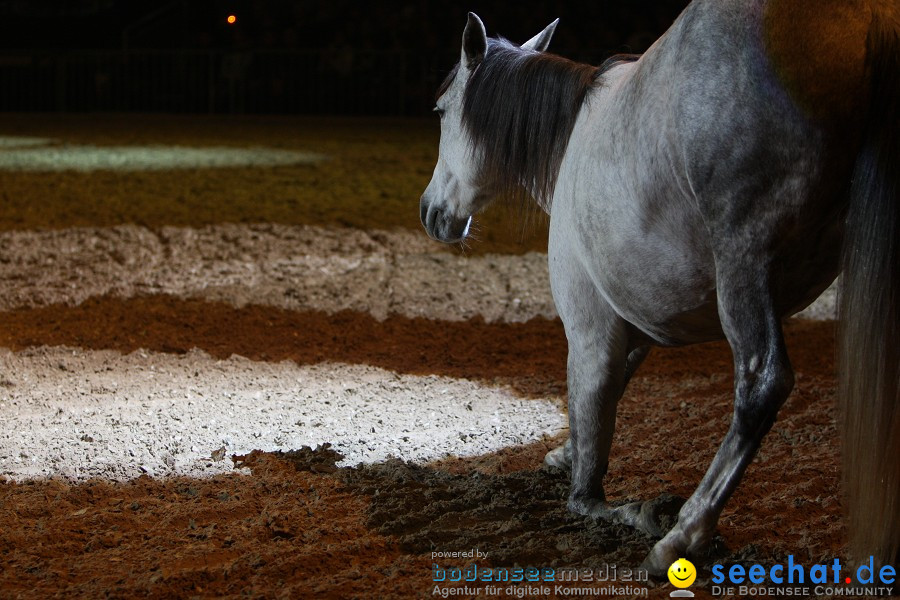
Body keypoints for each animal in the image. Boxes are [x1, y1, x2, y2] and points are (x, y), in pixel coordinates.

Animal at [420, 0, 900, 576]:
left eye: (441, 111)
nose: (429, 212)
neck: (571, 139)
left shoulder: (591, 332)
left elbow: (588, 489)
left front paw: (637, 509)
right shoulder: (632, 321)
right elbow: (599, 405)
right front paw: (565, 452)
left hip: (744, 259)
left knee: (762, 383)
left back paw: (683, 534)